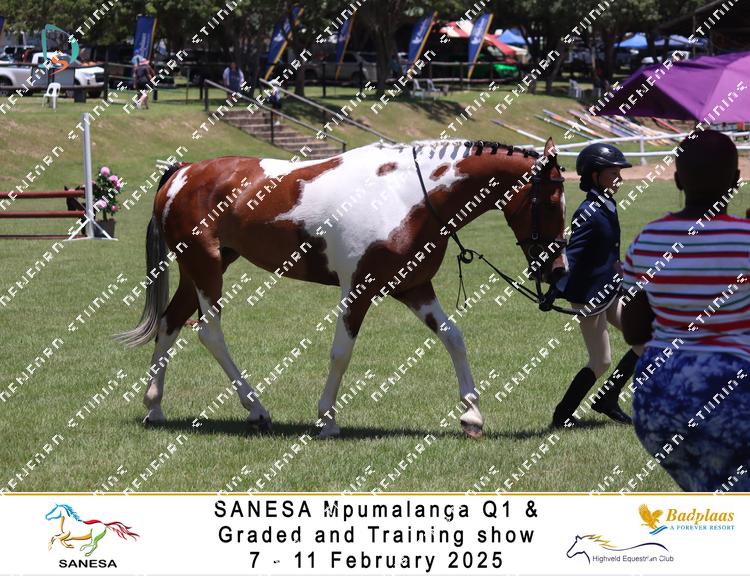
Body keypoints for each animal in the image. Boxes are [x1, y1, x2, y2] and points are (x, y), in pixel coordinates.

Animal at [116, 137, 567, 439]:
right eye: (549, 202)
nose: (556, 269)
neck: (406, 196)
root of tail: (184, 171)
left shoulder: (414, 288)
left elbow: (453, 337)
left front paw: (472, 416)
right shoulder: (358, 290)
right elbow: (341, 354)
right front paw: (326, 419)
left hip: (200, 268)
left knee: (170, 323)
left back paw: (155, 406)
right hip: (206, 269)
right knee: (208, 331)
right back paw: (255, 409)